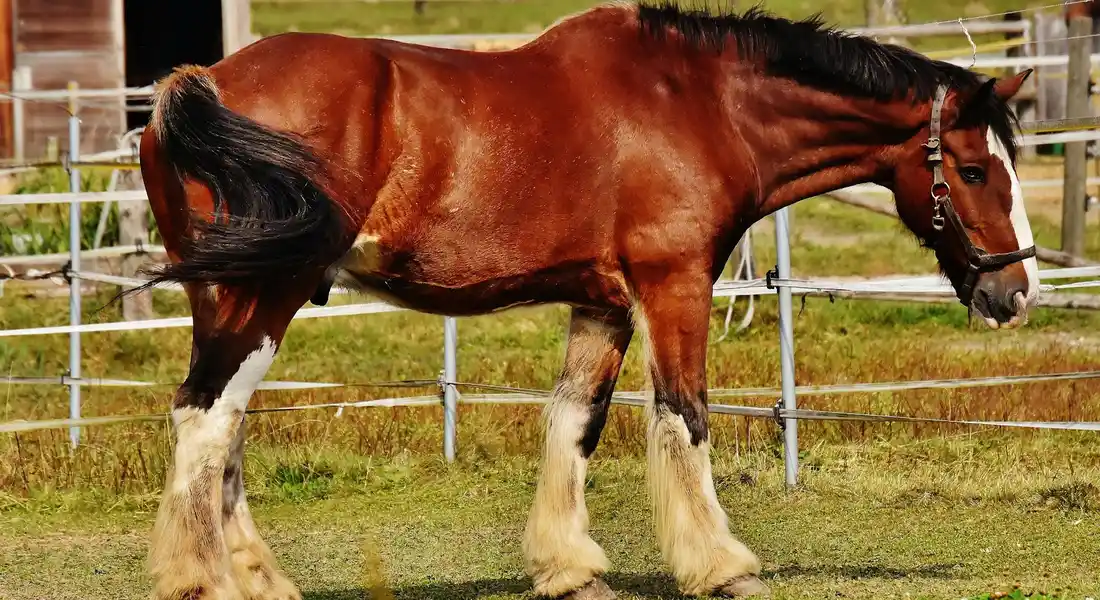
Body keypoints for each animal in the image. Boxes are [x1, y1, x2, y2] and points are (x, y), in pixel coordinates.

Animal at [134, 2, 1039, 598]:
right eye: (973, 170)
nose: (1016, 289)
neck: (697, 102)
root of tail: (199, 83)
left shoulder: (604, 303)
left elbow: (575, 419)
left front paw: (569, 568)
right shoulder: (674, 285)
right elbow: (685, 414)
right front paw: (722, 566)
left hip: (228, 298)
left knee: (221, 428)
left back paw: (255, 578)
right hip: (265, 294)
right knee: (208, 419)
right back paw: (203, 581)